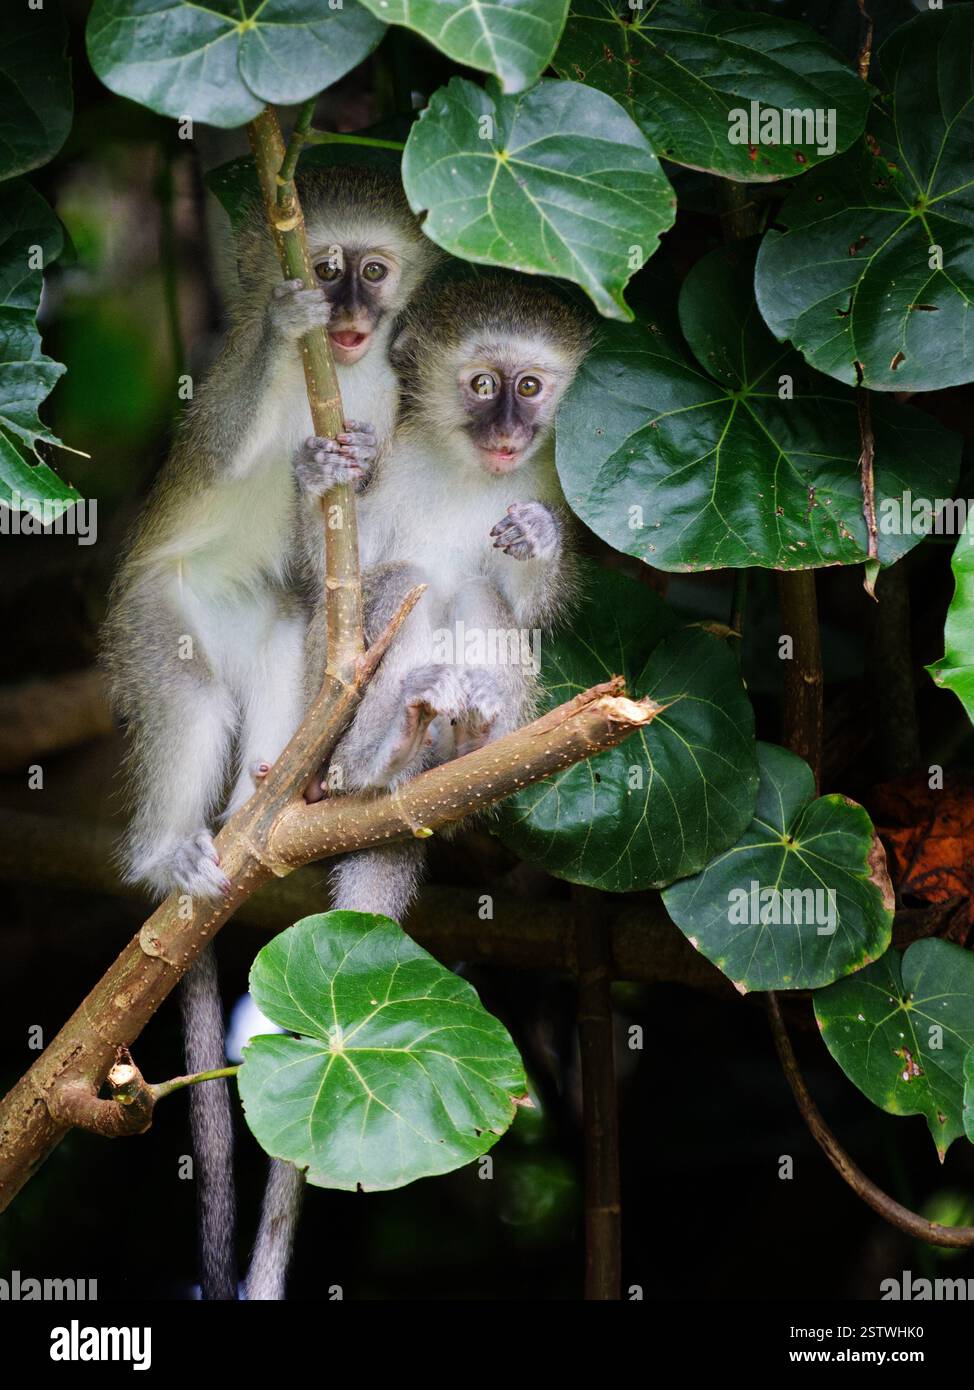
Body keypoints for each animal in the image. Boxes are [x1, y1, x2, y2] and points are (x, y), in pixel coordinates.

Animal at [101, 165, 442, 1301]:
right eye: (323, 265)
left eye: (372, 271)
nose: (340, 313)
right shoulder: (214, 390)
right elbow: (221, 438)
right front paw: (285, 346)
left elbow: (327, 564)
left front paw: (342, 467)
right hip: (153, 618)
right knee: (186, 689)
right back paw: (170, 851)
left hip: (265, 637)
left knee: (297, 615)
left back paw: (279, 790)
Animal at [244, 273, 593, 1300]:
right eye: (482, 385)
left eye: (531, 384)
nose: (512, 428)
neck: (467, 470)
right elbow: (326, 581)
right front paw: (332, 465)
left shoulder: (551, 481)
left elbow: (537, 603)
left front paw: (537, 541)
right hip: (334, 714)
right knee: (400, 585)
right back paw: (374, 756)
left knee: (480, 599)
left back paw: (478, 737)